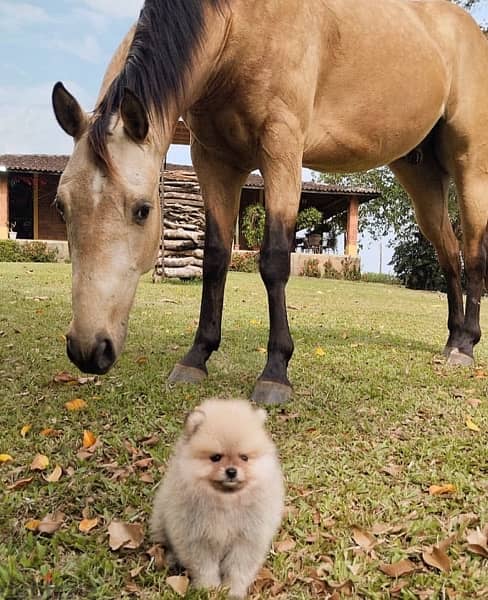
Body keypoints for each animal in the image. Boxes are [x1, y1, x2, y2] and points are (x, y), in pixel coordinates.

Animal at [52, 0, 488, 406]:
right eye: (62, 207)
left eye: (142, 210)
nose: (88, 349)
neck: (236, 26)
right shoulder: (214, 160)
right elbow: (215, 259)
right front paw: (197, 356)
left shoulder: (281, 148)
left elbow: (275, 260)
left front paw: (275, 370)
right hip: (421, 175)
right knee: (448, 253)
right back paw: (452, 339)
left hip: (469, 166)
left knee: (472, 253)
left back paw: (466, 346)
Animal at [151, 398, 284, 600]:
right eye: (215, 457)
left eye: (244, 457)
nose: (231, 471)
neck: (226, 501)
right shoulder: (197, 538)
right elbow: (205, 568)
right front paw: (209, 590)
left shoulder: (246, 539)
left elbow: (238, 569)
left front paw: (233, 591)